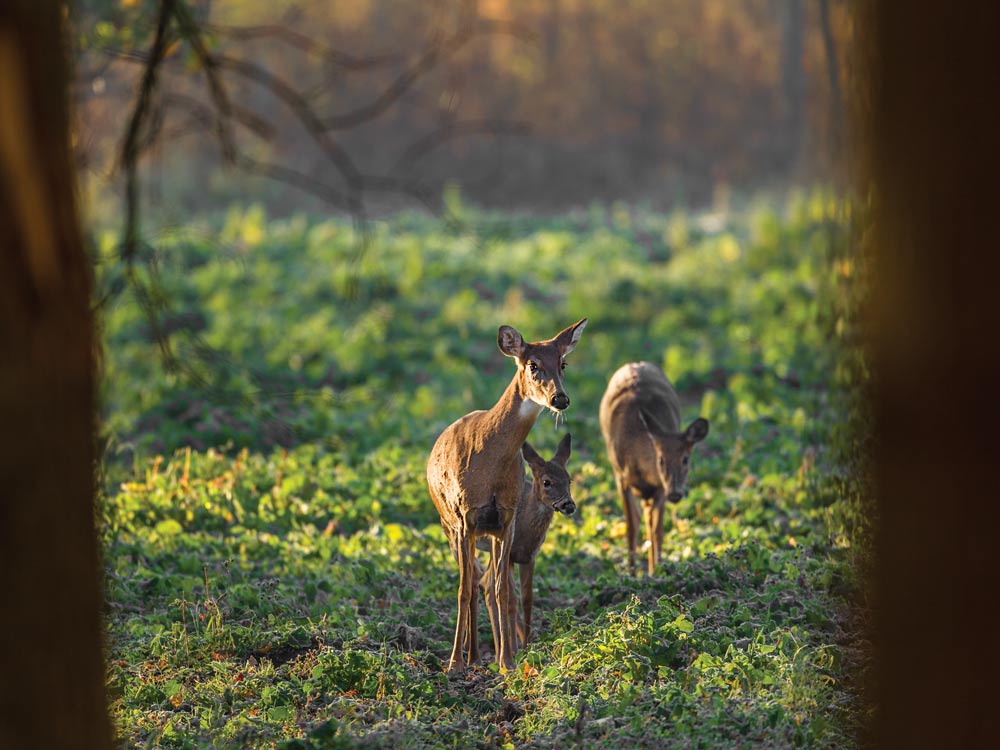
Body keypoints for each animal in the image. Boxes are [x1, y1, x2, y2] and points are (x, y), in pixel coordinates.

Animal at [478, 434, 576, 652]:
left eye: (569, 480)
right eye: (547, 482)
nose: (569, 506)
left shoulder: (529, 557)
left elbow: (527, 598)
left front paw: (528, 643)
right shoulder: (509, 555)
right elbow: (511, 600)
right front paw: (515, 649)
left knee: (484, 583)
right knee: (484, 585)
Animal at [596, 362, 708, 576]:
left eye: (686, 460)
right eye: (661, 460)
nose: (675, 494)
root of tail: (637, 363)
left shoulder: (659, 487)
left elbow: (657, 530)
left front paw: (657, 570)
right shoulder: (621, 478)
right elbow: (631, 527)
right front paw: (631, 573)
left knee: (650, 520)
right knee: (642, 517)